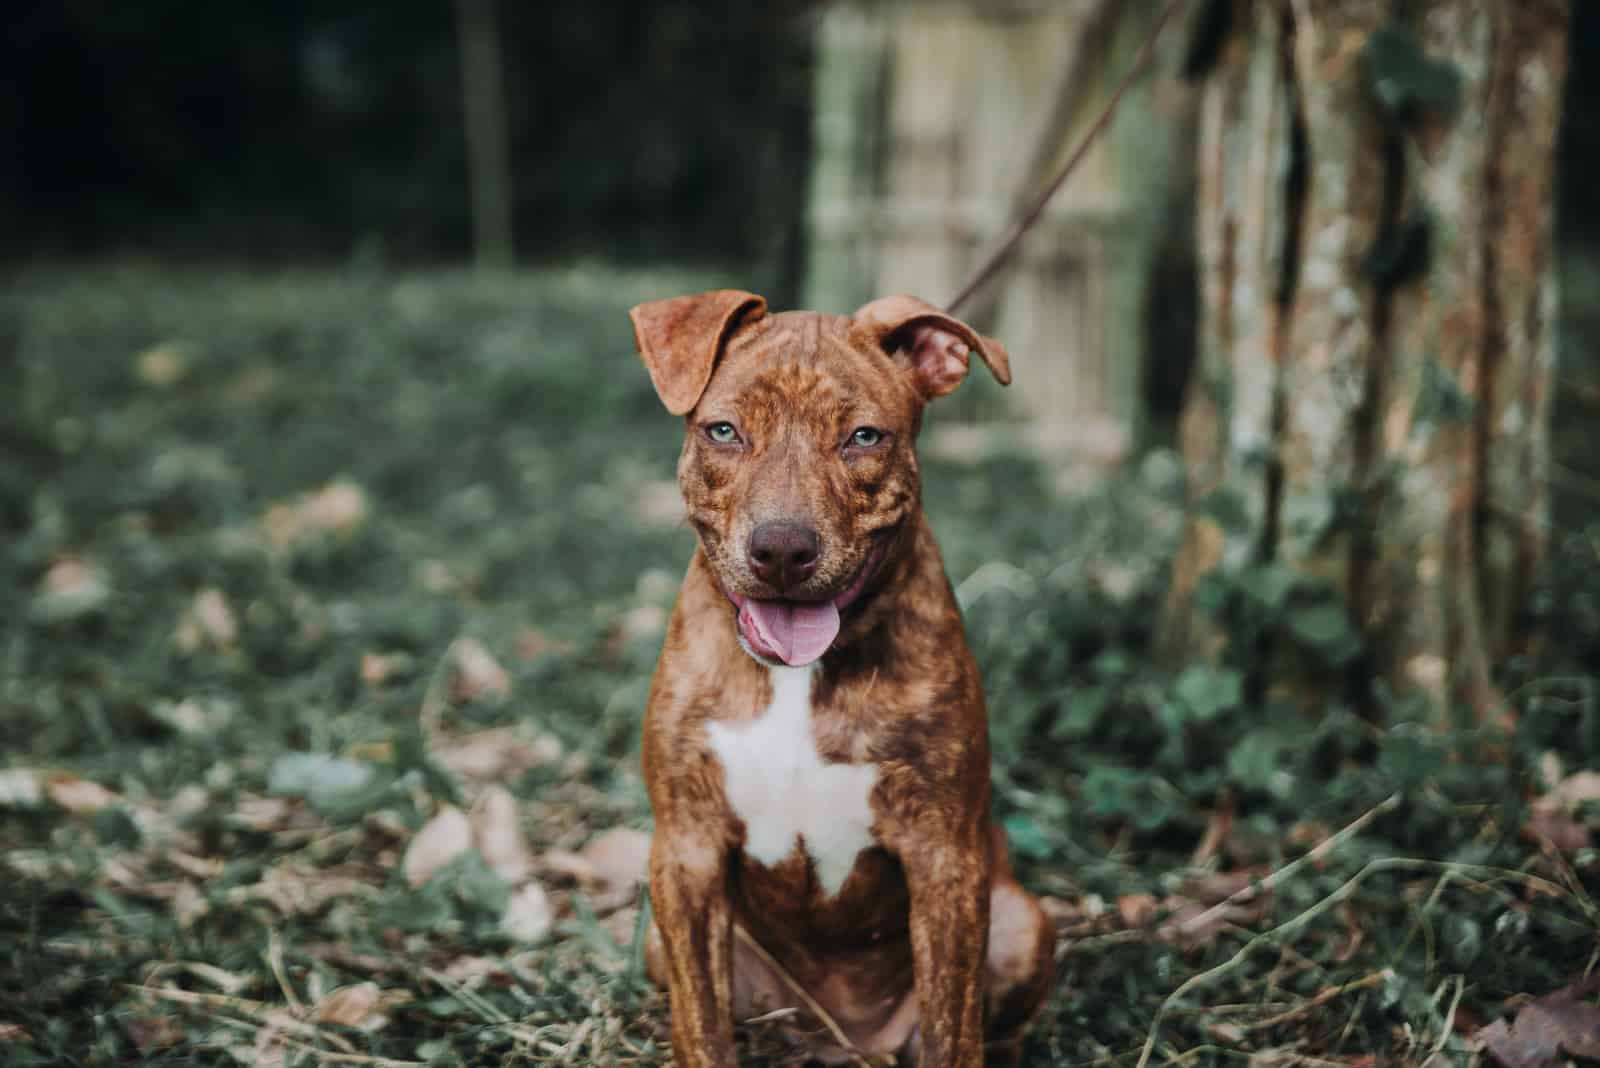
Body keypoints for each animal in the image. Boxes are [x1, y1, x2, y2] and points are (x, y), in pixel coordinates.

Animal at [630, 292, 1056, 1068]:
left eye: (863, 437)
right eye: (724, 431)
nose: (782, 549)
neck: (797, 679)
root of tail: (845, 1041)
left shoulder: (944, 858)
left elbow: (954, 1030)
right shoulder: (686, 850)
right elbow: (701, 1025)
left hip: (1020, 922)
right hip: (661, 939)